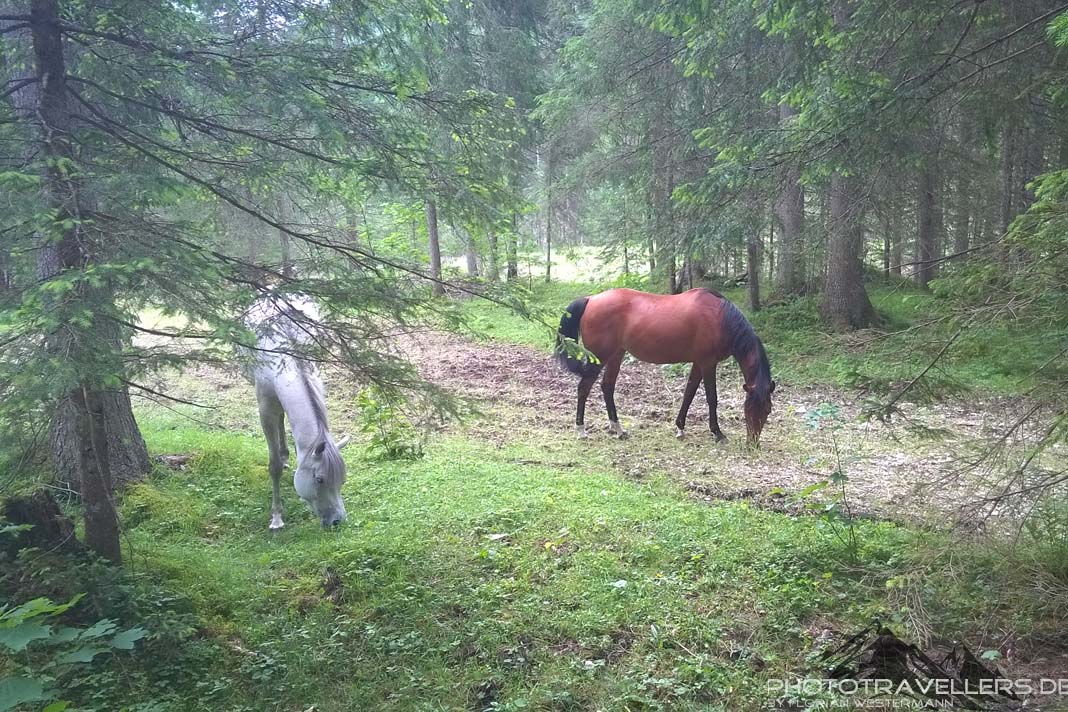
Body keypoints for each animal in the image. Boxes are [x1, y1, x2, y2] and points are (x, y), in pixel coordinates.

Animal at [243, 294, 350, 529]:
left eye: (342, 479)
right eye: (320, 479)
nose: (337, 520)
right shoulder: (265, 410)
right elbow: (273, 465)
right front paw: (276, 518)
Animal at [555, 286, 773, 441]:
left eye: (768, 409)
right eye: (748, 409)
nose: (753, 443)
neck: (720, 319)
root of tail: (590, 299)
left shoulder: (698, 363)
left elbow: (689, 393)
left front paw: (680, 427)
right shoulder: (708, 363)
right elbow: (712, 398)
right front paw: (717, 433)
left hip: (616, 355)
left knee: (607, 386)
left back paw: (618, 429)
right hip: (599, 357)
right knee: (584, 387)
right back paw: (581, 430)